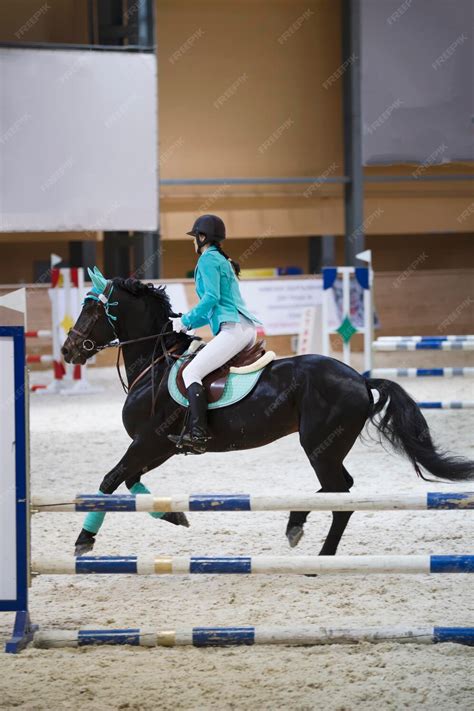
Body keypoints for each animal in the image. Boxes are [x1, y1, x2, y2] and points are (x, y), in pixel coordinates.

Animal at [61, 271, 474, 556]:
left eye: (92, 308)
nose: (68, 350)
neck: (155, 363)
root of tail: (360, 378)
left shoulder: (149, 441)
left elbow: (110, 481)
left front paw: (84, 539)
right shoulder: (159, 447)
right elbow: (130, 482)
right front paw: (173, 514)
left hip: (320, 446)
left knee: (340, 497)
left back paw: (321, 556)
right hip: (327, 448)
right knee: (339, 490)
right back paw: (296, 522)